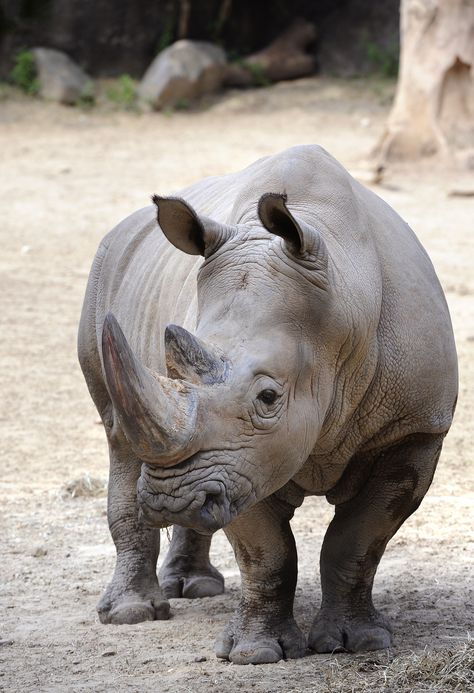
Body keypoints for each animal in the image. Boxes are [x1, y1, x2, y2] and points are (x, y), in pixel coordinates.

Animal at [78, 145, 460, 664]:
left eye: (268, 397)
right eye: (172, 369)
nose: (169, 498)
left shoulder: (413, 428)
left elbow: (358, 542)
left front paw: (358, 643)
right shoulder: (241, 461)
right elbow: (266, 552)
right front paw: (256, 653)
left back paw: (192, 585)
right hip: (104, 270)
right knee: (118, 436)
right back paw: (133, 614)